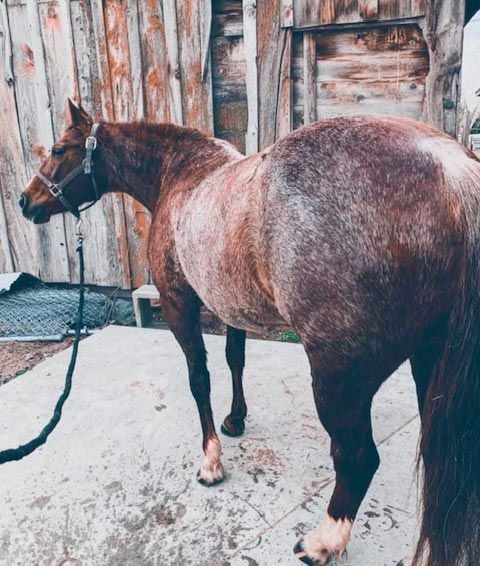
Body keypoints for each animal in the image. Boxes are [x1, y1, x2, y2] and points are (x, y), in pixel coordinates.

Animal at [17, 100, 480, 564]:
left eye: (58, 150)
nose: (25, 201)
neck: (181, 175)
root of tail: (452, 171)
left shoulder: (179, 305)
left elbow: (199, 379)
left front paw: (211, 463)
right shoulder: (231, 307)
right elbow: (234, 361)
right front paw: (235, 420)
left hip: (339, 378)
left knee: (358, 459)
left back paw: (321, 542)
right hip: (429, 365)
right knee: (437, 458)